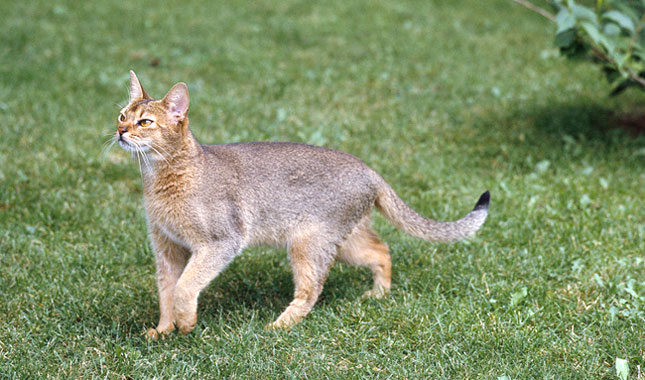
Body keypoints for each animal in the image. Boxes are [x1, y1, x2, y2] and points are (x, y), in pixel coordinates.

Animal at [115, 70, 488, 338]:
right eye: (121, 115)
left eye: (145, 122)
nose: (120, 131)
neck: (162, 181)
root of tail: (369, 169)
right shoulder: (166, 248)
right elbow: (166, 290)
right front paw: (164, 330)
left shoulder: (220, 242)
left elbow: (184, 286)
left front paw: (186, 322)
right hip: (344, 241)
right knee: (381, 250)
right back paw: (379, 294)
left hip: (307, 244)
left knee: (312, 290)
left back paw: (279, 326)